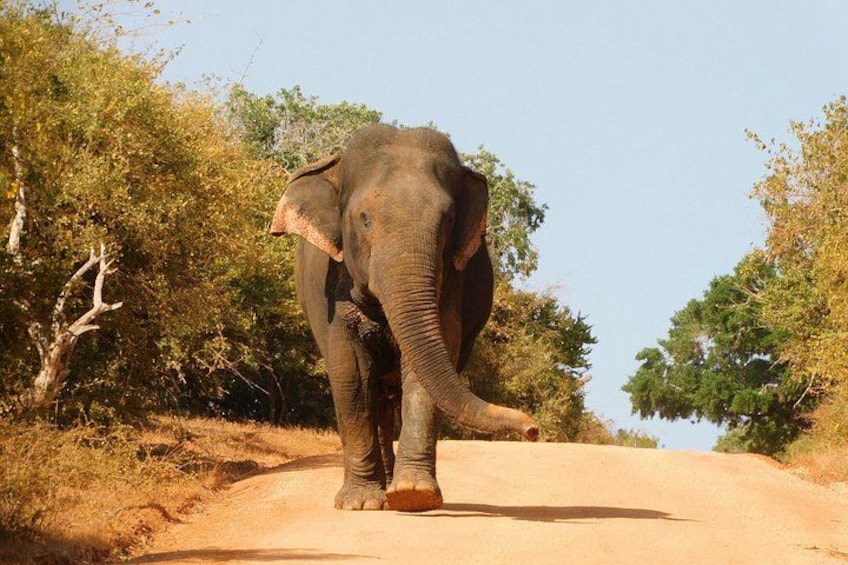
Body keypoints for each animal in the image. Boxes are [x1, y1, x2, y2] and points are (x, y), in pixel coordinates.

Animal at [269, 124, 539, 512]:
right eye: (364, 218)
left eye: (447, 221)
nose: (533, 430)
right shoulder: (330, 289)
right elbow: (350, 372)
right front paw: (358, 504)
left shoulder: (451, 285)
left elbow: (425, 371)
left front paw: (414, 495)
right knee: (377, 396)